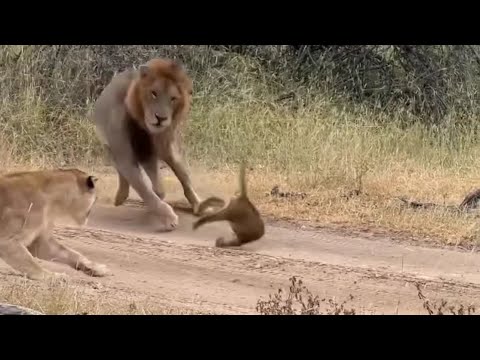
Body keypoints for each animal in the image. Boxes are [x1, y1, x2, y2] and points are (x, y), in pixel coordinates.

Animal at [94, 56, 202, 231]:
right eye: (154, 93)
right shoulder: (125, 154)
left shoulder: (158, 148)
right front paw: (168, 217)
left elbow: (171, 180)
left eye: (173, 98)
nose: (161, 118)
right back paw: (121, 197)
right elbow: (144, 189)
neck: (142, 123)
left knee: (177, 176)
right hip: (110, 146)